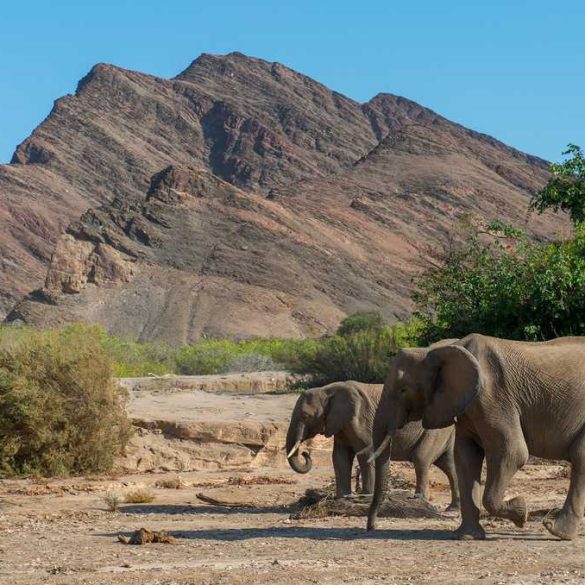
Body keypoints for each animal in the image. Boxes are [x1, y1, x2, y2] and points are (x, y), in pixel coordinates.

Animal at [286, 378, 460, 506]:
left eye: (306, 416)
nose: (305, 453)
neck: (326, 390)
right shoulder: (340, 424)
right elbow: (340, 457)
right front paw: (342, 499)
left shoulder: (361, 419)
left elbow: (366, 453)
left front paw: (366, 497)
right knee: (449, 464)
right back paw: (453, 508)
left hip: (434, 430)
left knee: (421, 459)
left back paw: (419, 500)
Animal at [368, 334, 584, 540]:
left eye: (403, 389)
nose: (372, 527)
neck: (439, 349)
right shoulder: (466, 406)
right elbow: (465, 458)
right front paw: (465, 536)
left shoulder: (493, 398)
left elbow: (512, 452)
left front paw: (521, 512)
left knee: (579, 456)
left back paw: (557, 531)